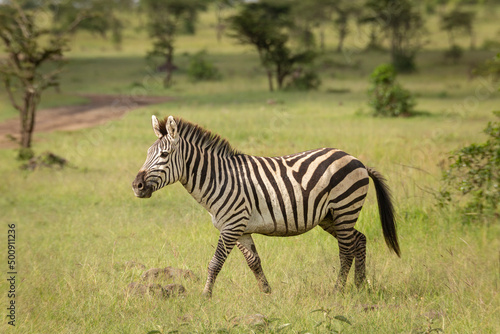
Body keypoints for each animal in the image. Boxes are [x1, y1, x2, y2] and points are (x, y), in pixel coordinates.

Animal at [131, 116, 400, 296]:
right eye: (147, 153)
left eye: (164, 155)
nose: (136, 186)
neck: (218, 178)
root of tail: (357, 160)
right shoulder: (240, 229)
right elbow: (254, 262)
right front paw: (267, 293)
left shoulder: (231, 226)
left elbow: (215, 262)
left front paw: (205, 296)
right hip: (331, 216)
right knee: (359, 240)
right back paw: (360, 285)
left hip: (345, 208)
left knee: (345, 250)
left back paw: (338, 290)